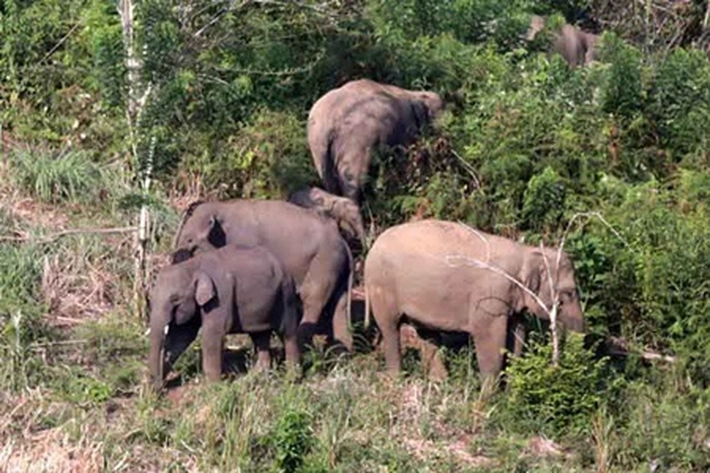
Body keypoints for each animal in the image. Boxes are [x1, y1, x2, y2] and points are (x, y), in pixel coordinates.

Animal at [150, 242, 300, 390]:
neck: (194, 265)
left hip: (286, 295)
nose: (158, 389)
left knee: (288, 334)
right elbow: (181, 337)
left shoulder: (220, 297)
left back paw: (292, 380)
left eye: (174, 298)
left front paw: (214, 388)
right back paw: (254, 378)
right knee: (259, 336)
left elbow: (212, 335)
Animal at [173, 198, 356, 354]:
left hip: (324, 261)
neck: (220, 207)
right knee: (339, 304)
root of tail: (343, 242)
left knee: (312, 300)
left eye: (189, 241)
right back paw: (341, 355)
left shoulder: (244, 241)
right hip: (336, 266)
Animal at [308, 79, 442, 203]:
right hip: (356, 142)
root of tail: (329, 124)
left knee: (329, 181)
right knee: (353, 180)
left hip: (318, 147)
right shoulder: (405, 128)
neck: (413, 94)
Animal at [364, 219, 588, 382]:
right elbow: (489, 338)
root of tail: (372, 247)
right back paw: (397, 380)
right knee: (390, 329)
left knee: (427, 335)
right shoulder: (490, 296)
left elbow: (517, 335)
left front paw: (510, 393)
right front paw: (488, 401)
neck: (525, 252)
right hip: (381, 287)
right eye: (569, 293)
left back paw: (440, 383)